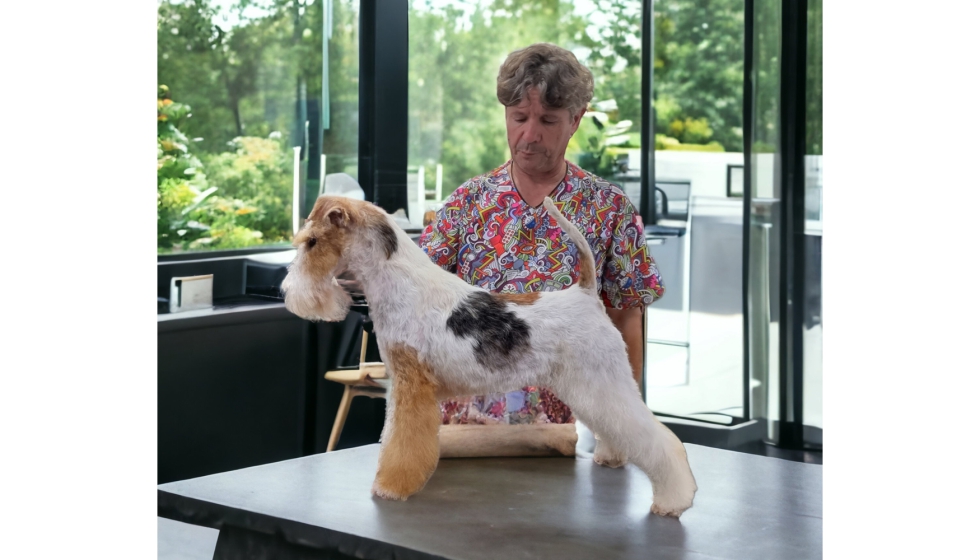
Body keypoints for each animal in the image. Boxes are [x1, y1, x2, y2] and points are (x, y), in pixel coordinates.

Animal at [280, 195, 700, 520]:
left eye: (312, 241)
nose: (288, 291)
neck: (399, 284)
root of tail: (585, 294)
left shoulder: (411, 387)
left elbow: (400, 442)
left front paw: (390, 487)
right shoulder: (405, 387)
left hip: (602, 382)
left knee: (659, 441)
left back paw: (673, 500)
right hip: (593, 388)